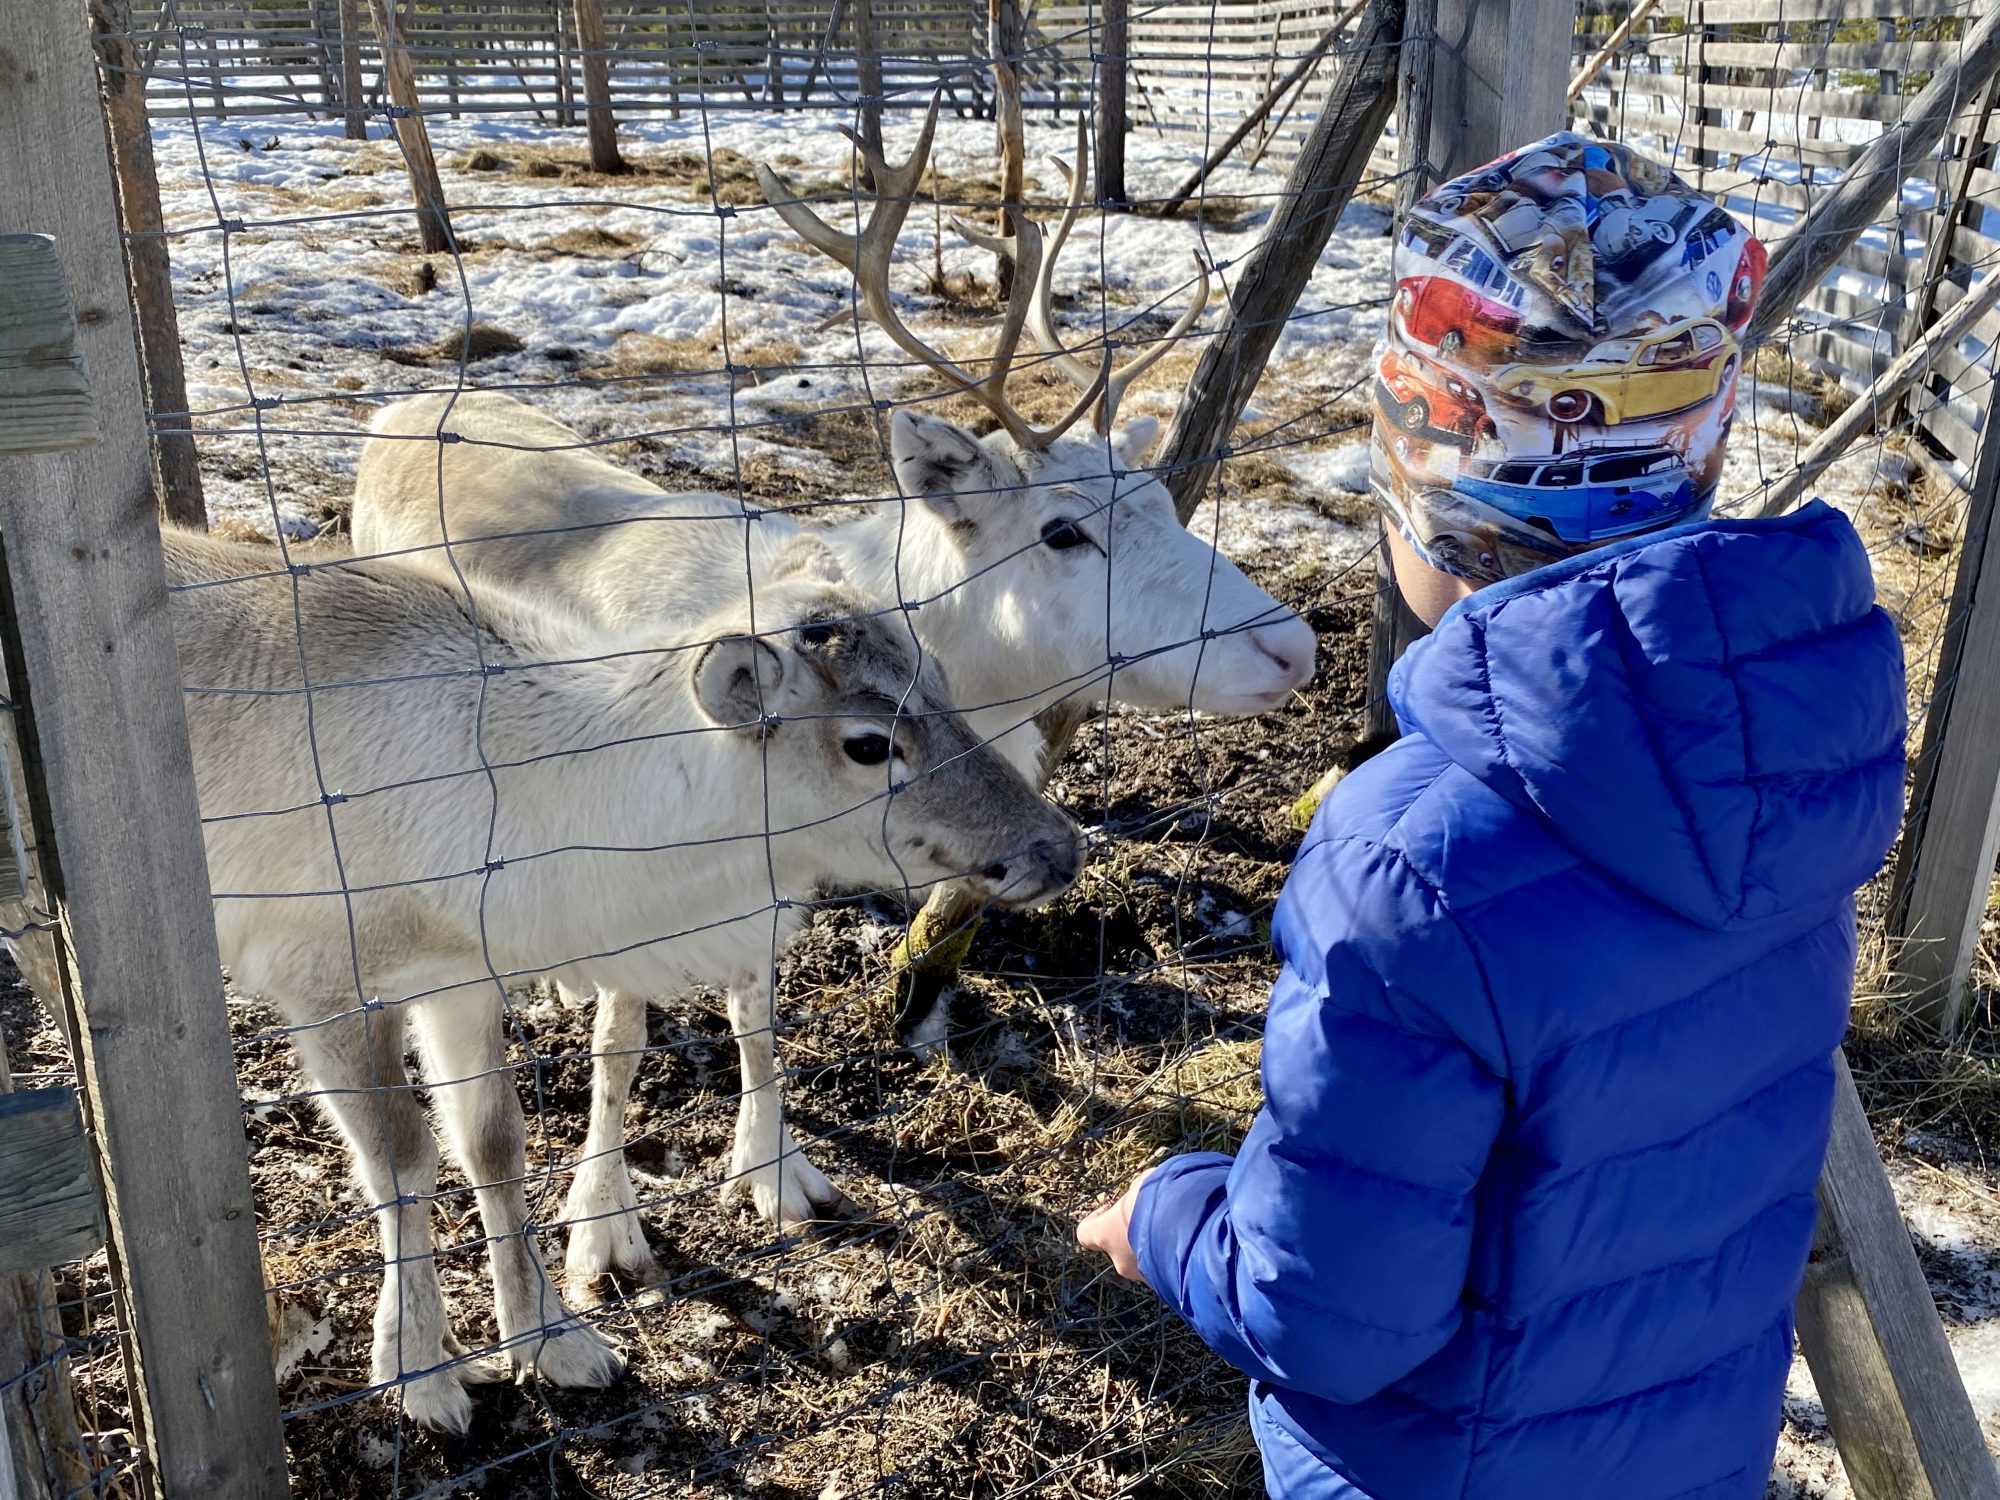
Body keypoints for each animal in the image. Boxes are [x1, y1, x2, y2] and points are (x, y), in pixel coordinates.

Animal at [149, 527, 1079, 1433]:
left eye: (946, 684)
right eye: (868, 744)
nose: (1058, 848)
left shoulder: (460, 978)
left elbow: (495, 1143)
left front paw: (553, 1341)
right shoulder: (322, 982)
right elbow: (403, 1162)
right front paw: (423, 1374)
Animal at [347, 100, 1317, 1297]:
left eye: (1163, 500)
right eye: (1061, 531)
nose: (1292, 646)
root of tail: (392, 409)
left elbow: (757, 1009)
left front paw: (776, 1172)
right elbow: (624, 1039)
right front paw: (602, 1232)